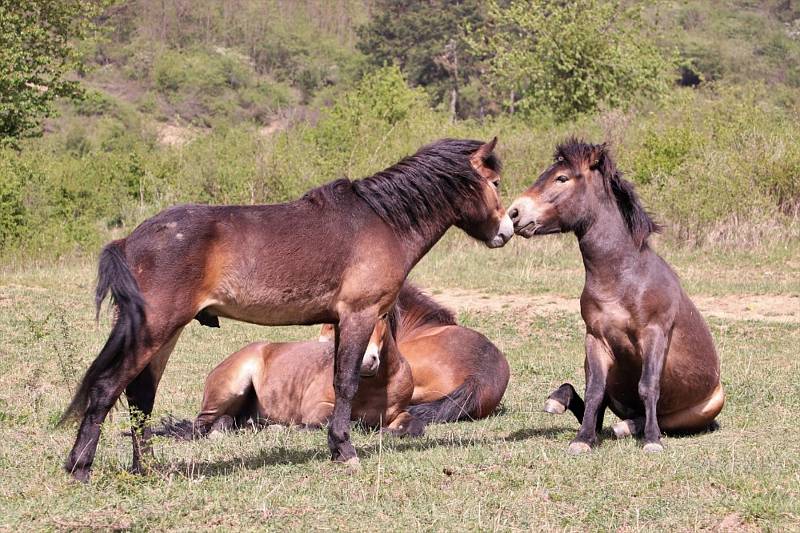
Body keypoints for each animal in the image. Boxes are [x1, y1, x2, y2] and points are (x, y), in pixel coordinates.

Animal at [512, 138, 724, 454]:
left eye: (561, 178)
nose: (514, 213)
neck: (623, 278)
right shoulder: (595, 339)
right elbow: (594, 390)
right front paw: (583, 439)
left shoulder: (654, 334)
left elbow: (648, 386)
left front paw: (652, 441)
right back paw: (561, 403)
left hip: (698, 411)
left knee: (659, 418)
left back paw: (633, 428)